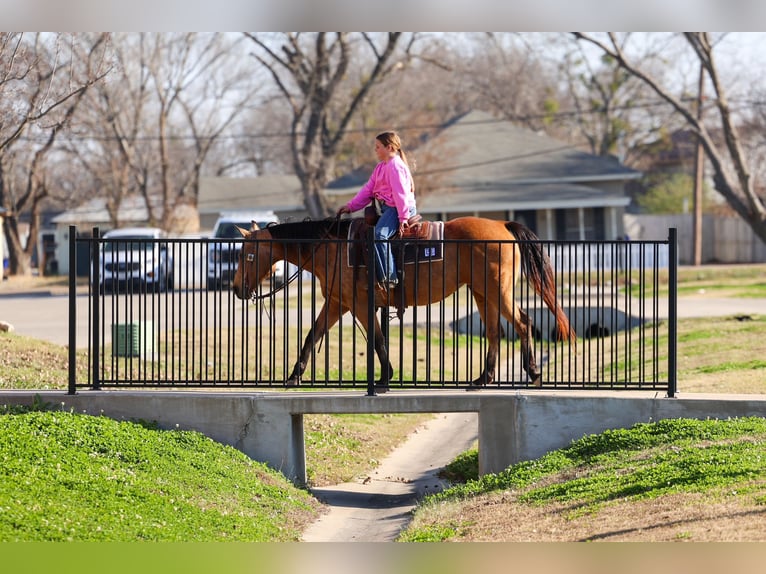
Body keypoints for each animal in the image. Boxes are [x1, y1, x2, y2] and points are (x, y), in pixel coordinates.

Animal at [232, 216, 575, 391]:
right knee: (495, 331)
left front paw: (385, 378)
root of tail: (503, 225)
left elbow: (378, 341)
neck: (332, 246)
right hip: (483, 292)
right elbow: (312, 335)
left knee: (522, 323)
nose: (236, 288)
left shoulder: (359, 304)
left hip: (497, 290)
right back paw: (482, 379)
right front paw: (294, 376)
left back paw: (533, 373)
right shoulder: (337, 302)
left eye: (247, 254)